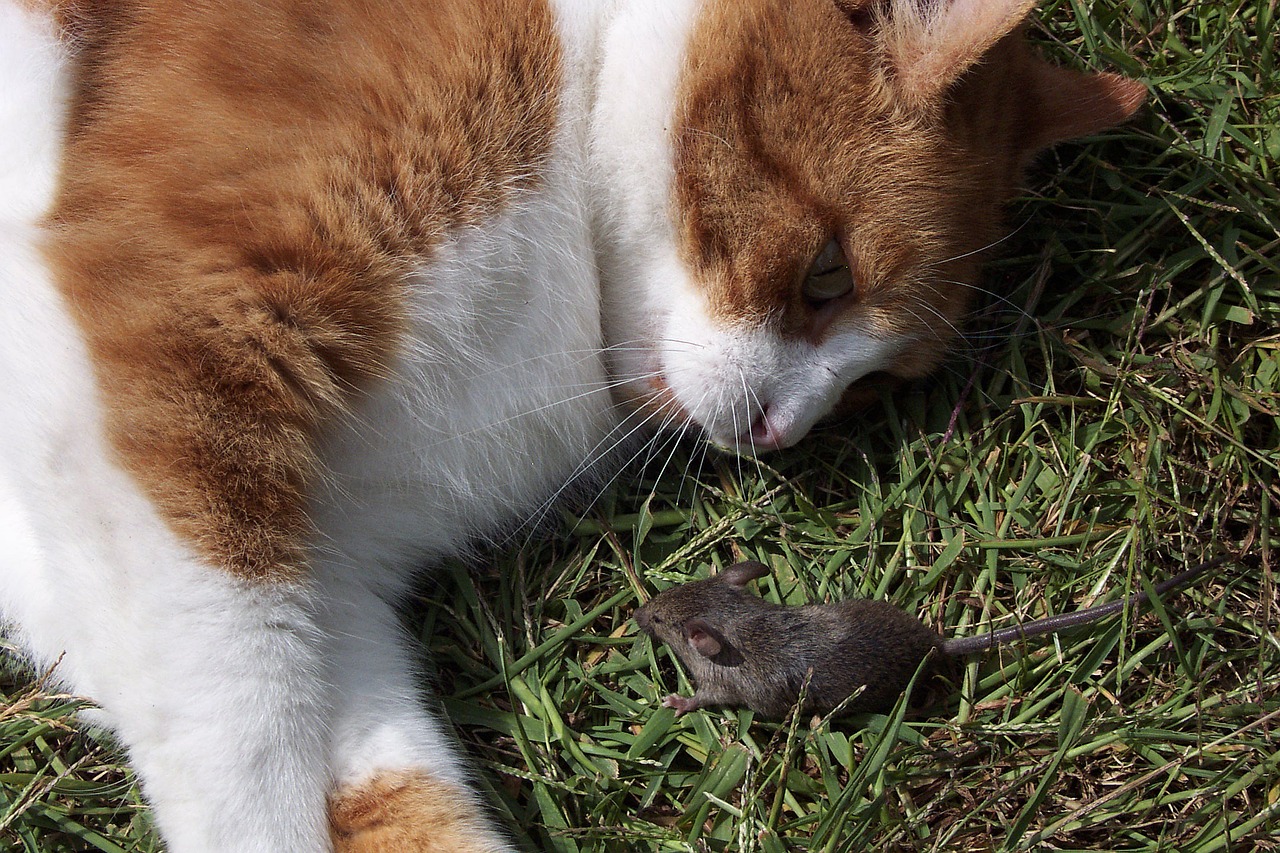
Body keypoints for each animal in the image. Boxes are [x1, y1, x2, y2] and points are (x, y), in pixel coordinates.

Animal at [0, 1, 1141, 850]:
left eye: (876, 388)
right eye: (826, 275)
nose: (779, 429)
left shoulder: (329, 568)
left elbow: (387, 784)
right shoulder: (180, 317)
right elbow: (244, 741)